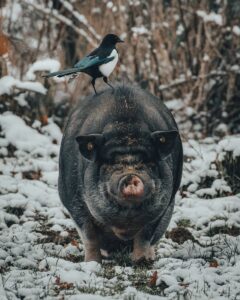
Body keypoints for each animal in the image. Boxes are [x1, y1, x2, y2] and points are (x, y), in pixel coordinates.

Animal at [59, 85, 183, 262]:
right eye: (111, 163)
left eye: (149, 163)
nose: (131, 176)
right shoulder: (73, 200)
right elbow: (89, 234)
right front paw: (92, 262)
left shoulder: (163, 207)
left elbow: (145, 235)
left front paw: (140, 261)